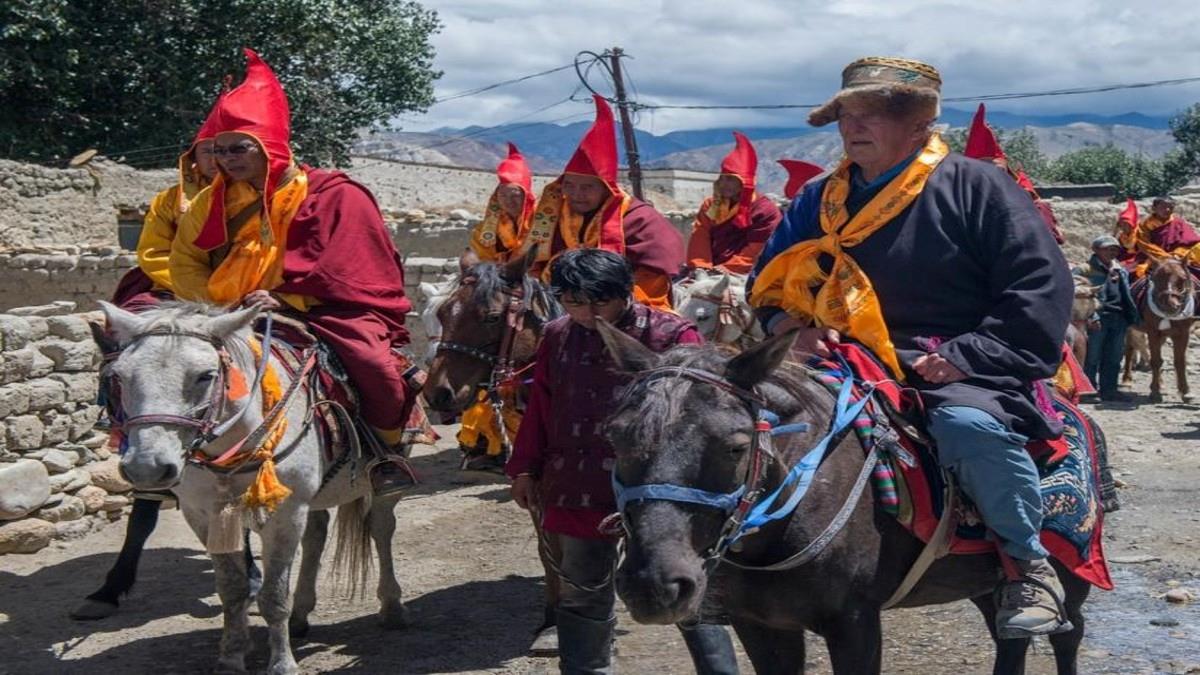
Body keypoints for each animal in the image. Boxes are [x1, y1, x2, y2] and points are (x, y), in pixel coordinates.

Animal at [102, 303, 408, 672]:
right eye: (120, 376)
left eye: (205, 375)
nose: (146, 468)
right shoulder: (205, 515)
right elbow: (232, 590)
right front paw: (231, 657)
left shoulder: (284, 516)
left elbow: (273, 596)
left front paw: (282, 663)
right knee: (316, 536)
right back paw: (300, 617)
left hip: (380, 483)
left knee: (381, 529)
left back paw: (391, 607)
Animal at [1128, 254, 1195, 396]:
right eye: (1157, 278)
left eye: (1183, 279)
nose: (1170, 305)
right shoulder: (1153, 332)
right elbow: (1156, 361)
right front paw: (1155, 390)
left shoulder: (1183, 333)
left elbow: (1180, 361)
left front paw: (1185, 391)